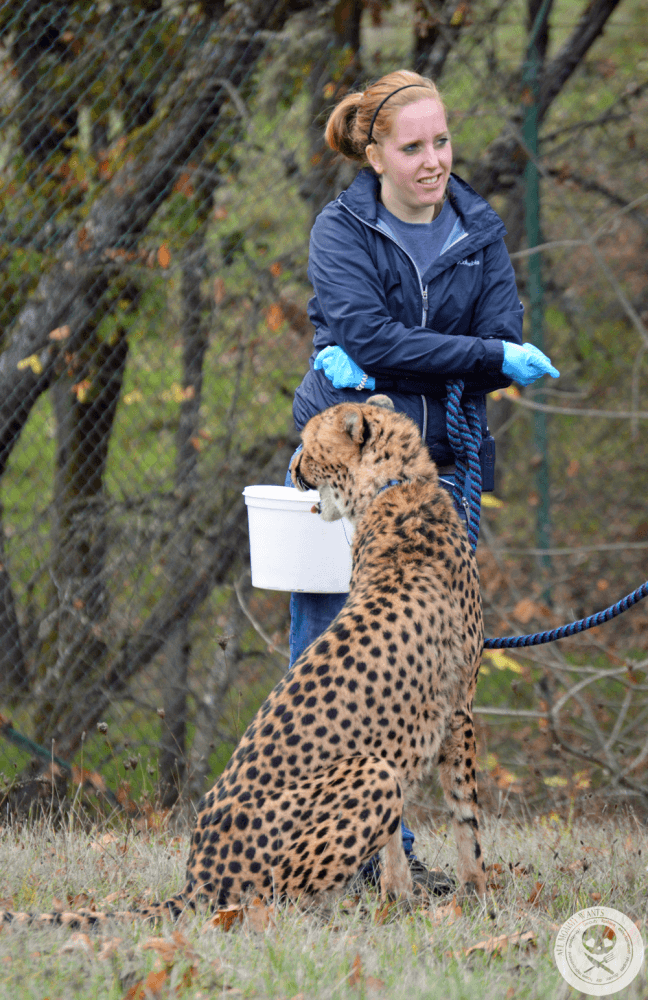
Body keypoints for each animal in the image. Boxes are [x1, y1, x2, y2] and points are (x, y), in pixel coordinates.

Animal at [0, 398, 486, 928]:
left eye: (310, 444)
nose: (293, 469)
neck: (395, 486)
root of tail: (197, 878)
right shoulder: (456, 711)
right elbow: (467, 819)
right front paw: (480, 896)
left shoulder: (417, 734)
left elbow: (406, 838)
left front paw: (400, 902)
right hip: (368, 776)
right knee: (274, 905)